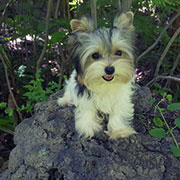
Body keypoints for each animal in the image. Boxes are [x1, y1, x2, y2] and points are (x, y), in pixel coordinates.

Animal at [57, 11, 136, 139]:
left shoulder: (121, 97)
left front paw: (118, 130)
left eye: (119, 52)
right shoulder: (84, 95)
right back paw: (64, 100)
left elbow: (118, 111)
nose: (109, 69)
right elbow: (88, 109)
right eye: (95, 55)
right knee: (69, 92)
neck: (105, 83)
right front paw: (88, 127)